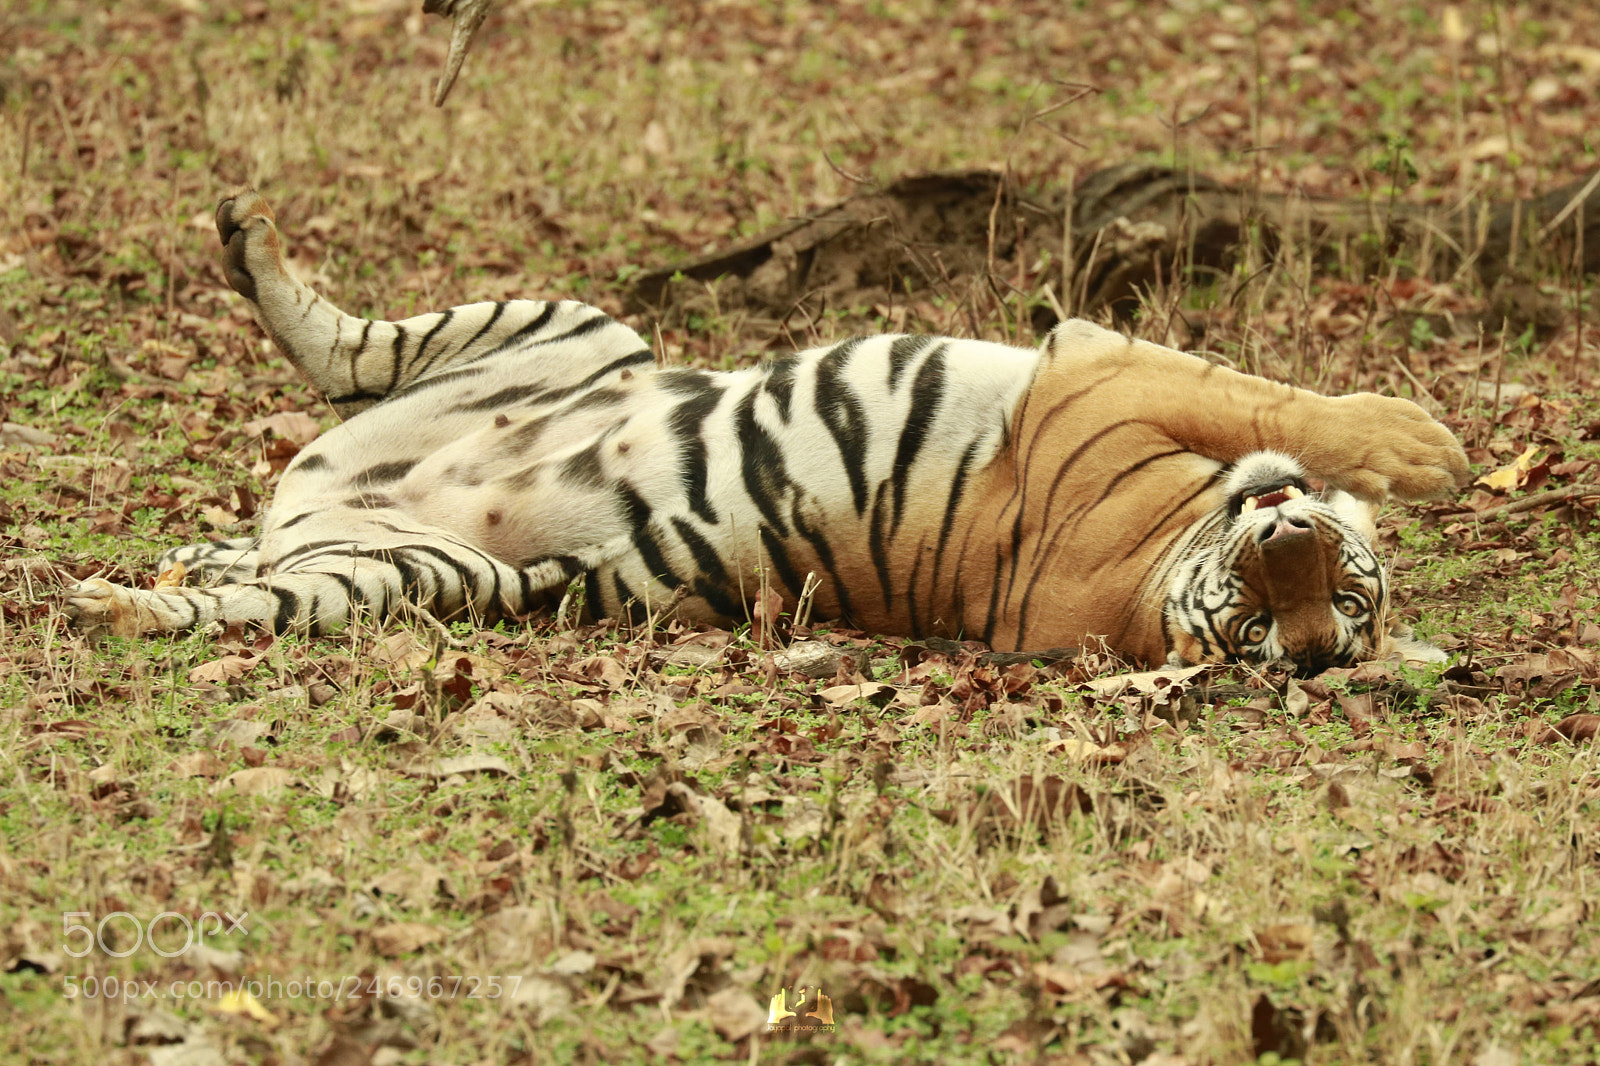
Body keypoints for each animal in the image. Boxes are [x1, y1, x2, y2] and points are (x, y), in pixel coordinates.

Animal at [67, 188, 1471, 675]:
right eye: (1283, 598)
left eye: (1325, 615)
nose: (1286, 534)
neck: (1148, 577)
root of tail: (310, 504)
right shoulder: (1099, 367)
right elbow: (1264, 395)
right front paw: (1426, 447)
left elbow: (1263, 401)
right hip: (570, 321)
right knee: (337, 345)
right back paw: (246, 239)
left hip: (390, 576)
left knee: (247, 584)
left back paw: (121, 601)